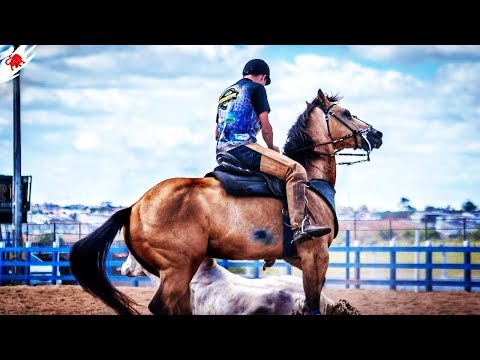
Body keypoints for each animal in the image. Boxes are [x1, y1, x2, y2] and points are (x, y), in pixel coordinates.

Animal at [69, 88, 382, 316]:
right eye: (346, 113)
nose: (376, 135)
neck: (310, 183)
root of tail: (134, 207)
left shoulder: (299, 258)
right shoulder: (315, 255)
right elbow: (313, 303)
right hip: (177, 270)